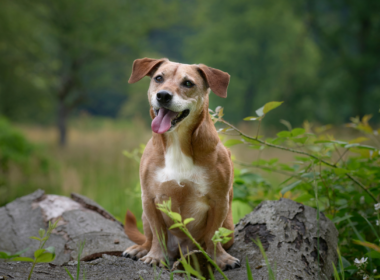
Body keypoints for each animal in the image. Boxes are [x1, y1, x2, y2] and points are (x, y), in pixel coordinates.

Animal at [122, 58, 240, 270]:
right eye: (158, 78)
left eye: (188, 83)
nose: (163, 95)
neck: (177, 140)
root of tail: (181, 250)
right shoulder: (150, 199)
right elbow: (158, 234)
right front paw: (155, 256)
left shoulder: (219, 201)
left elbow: (213, 235)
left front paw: (220, 258)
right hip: (144, 216)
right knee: (149, 238)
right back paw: (141, 249)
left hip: (228, 226)